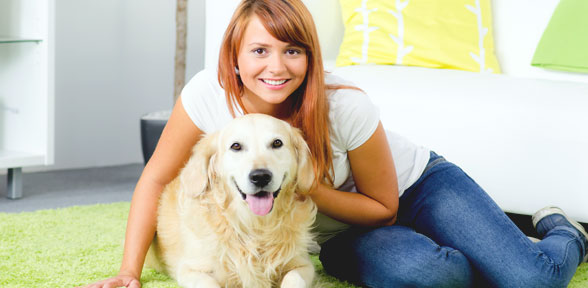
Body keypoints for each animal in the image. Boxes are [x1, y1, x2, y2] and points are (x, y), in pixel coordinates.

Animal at [146, 113, 320, 286]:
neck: (255, 225)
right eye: (236, 146)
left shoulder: (303, 265)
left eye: (277, 143)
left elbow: (294, 279)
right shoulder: (190, 269)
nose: (260, 177)